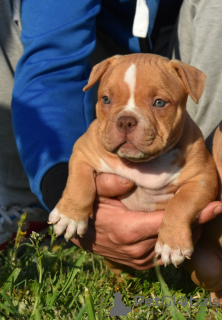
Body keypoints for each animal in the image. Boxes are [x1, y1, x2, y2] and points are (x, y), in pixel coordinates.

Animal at [48, 53, 217, 268]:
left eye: (159, 103)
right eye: (105, 99)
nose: (125, 121)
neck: (142, 164)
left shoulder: (203, 178)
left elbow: (180, 204)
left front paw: (172, 244)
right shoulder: (83, 152)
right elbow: (79, 182)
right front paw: (69, 216)